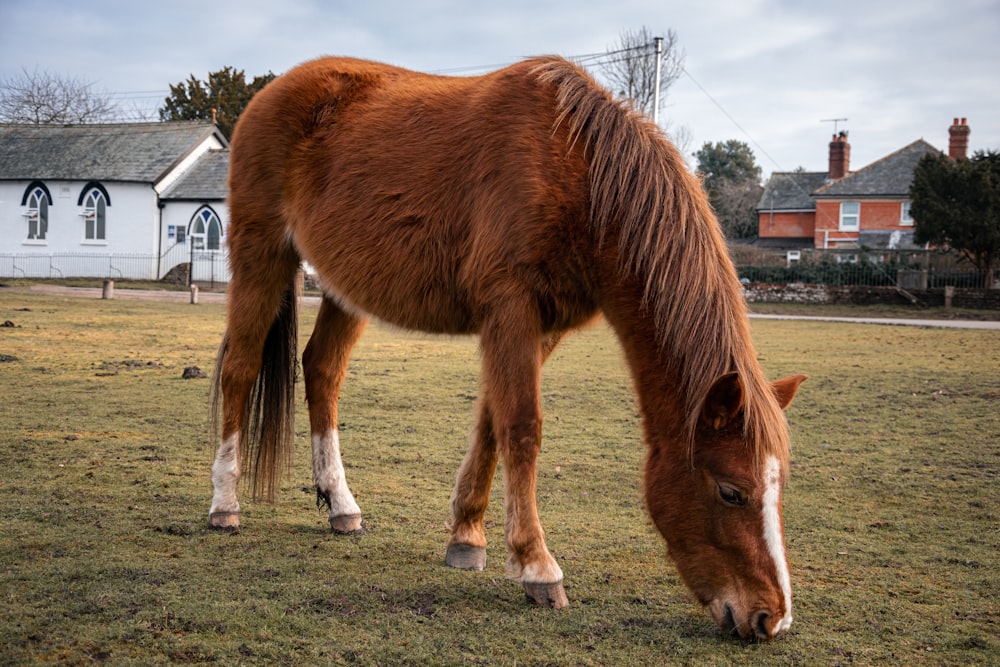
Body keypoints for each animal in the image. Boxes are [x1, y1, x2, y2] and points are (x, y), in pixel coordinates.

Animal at [209, 56, 804, 640]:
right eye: (731, 491)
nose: (771, 619)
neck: (580, 171)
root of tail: (272, 93)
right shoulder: (511, 310)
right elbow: (522, 428)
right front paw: (538, 566)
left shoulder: (541, 327)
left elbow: (492, 421)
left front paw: (466, 536)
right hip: (262, 255)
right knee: (240, 369)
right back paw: (225, 504)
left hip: (343, 287)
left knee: (323, 371)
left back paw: (340, 504)